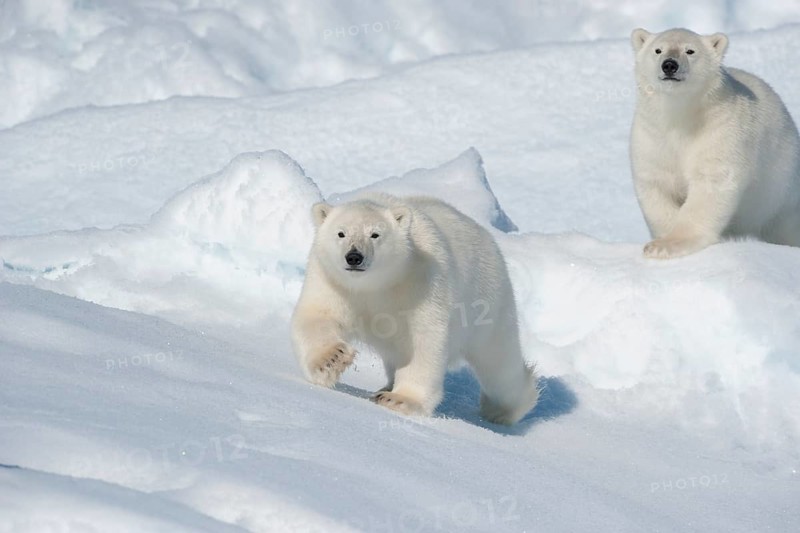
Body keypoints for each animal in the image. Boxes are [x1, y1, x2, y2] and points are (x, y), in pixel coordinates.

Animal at [291, 192, 539, 425]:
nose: (354, 257)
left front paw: (400, 399)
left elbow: (424, 338)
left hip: (488, 302)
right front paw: (331, 360)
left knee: (498, 364)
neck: (376, 285)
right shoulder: (332, 282)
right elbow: (316, 316)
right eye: (341, 233)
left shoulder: (421, 284)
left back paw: (503, 409)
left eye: (375, 234)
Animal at [630, 28, 800, 259]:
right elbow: (656, 184)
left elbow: (711, 184)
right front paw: (658, 242)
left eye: (690, 50)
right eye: (658, 49)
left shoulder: (720, 130)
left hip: (780, 195)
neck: (681, 116)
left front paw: (669, 244)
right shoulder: (652, 136)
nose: (670, 65)